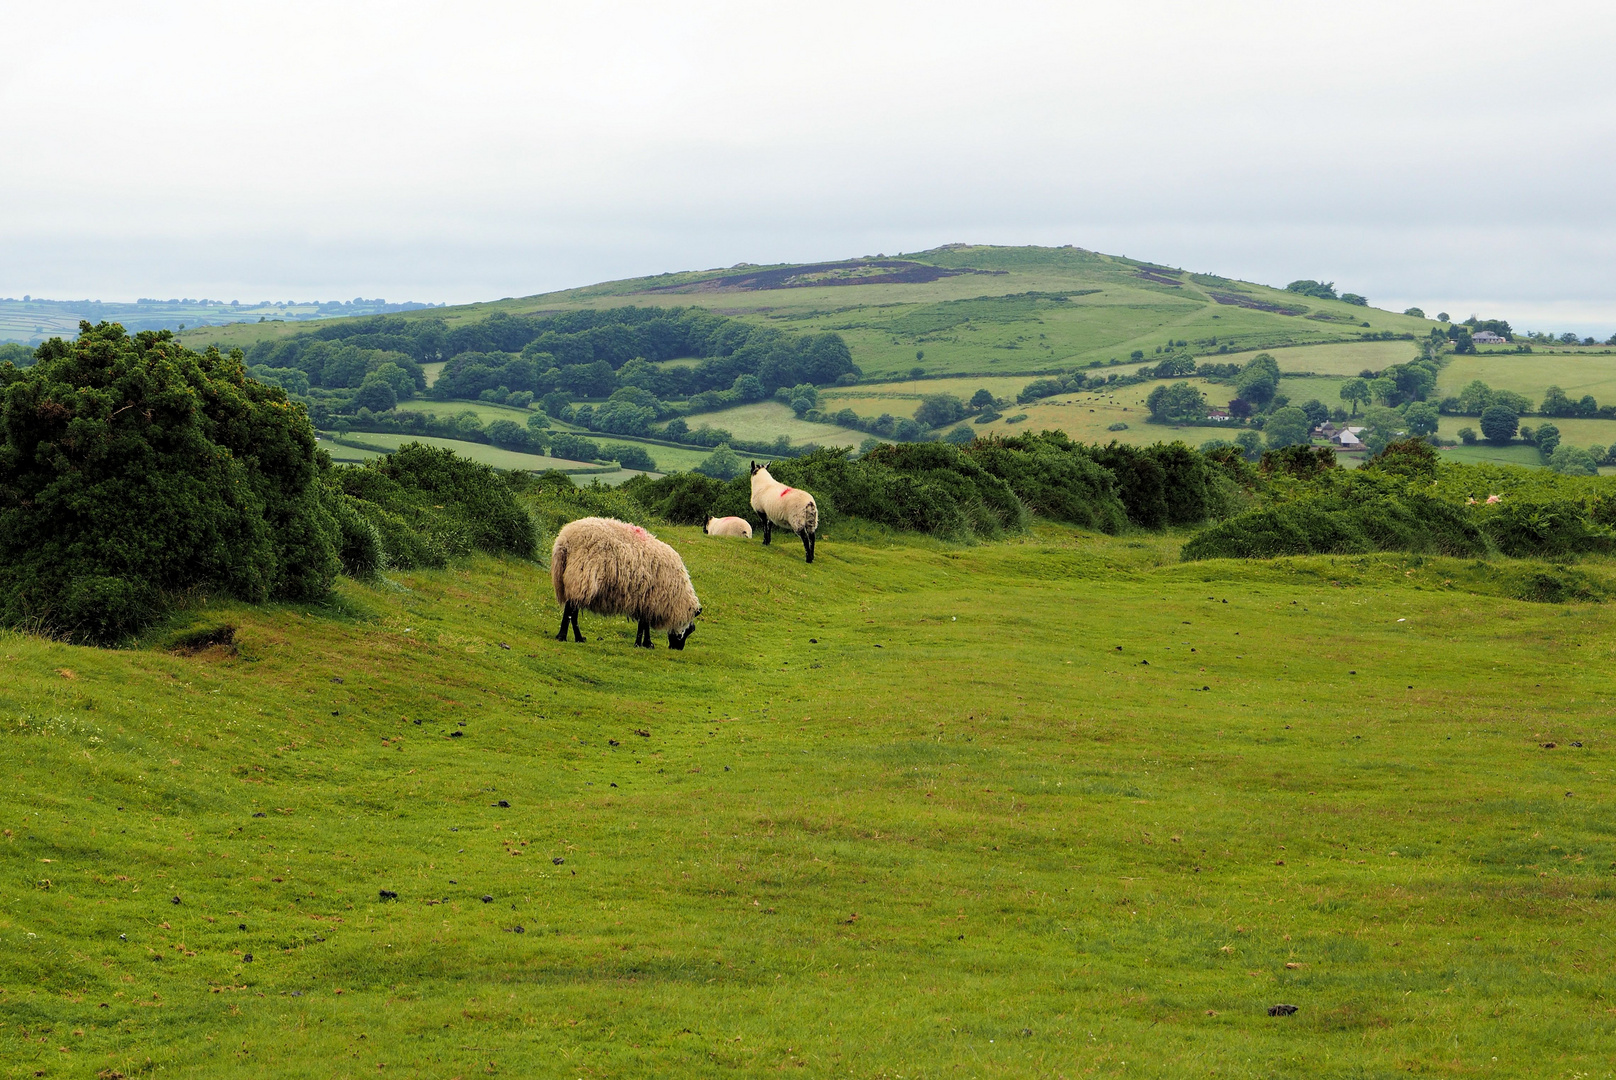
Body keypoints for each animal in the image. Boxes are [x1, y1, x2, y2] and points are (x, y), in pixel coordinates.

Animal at [549, 517, 701, 649]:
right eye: (689, 630)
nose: (678, 648)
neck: (676, 598)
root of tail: (565, 540)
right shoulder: (650, 598)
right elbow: (643, 624)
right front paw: (643, 643)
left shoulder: (645, 600)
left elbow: (643, 624)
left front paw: (644, 643)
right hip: (581, 576)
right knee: (571, 611)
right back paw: (569, 637)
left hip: (568, 578)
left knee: (571, 610)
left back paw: (570, 637)